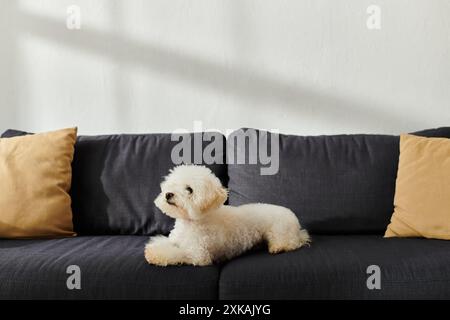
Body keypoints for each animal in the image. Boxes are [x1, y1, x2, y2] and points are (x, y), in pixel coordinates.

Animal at [144, 164, 310, 266]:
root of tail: (296, 225)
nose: (168, 194)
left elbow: (176, 253)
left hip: (280, 232)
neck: (192, 222)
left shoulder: (197, 254)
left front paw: (155, 255)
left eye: (189, 189)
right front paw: (153, 248)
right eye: (172, 184)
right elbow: (164, 243)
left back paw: (278, 247)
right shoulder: (175, 240)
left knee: (292, 244)